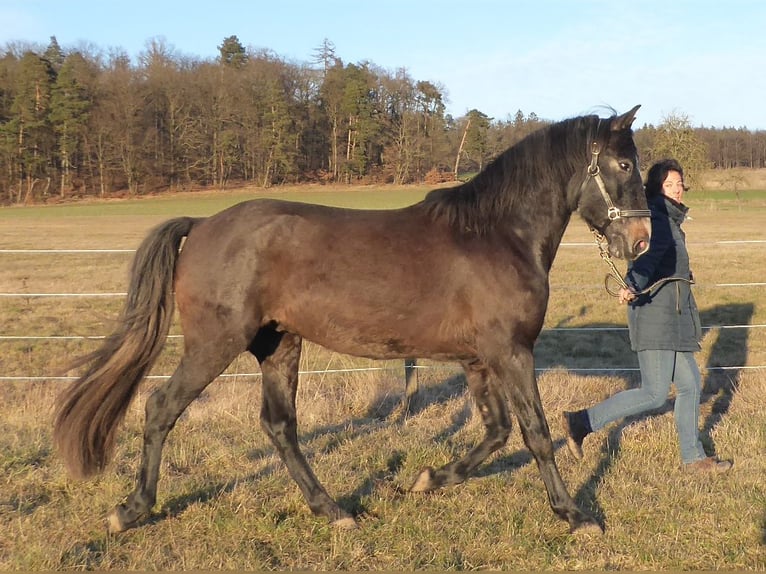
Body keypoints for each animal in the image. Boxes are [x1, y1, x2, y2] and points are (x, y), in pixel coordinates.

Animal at [55, 106, 656, 536]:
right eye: (625, 165)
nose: (642, 241)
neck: (497, 234)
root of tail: (201, 224)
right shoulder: (510, 352)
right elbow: (535, 433)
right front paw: (575, 515)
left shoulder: (478, 359)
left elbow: (496, 431)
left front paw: (429, 479)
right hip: (215, 343)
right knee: (161, 408)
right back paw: (131, 510)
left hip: (279, 345)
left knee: (279, 426)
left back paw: (332, 509)